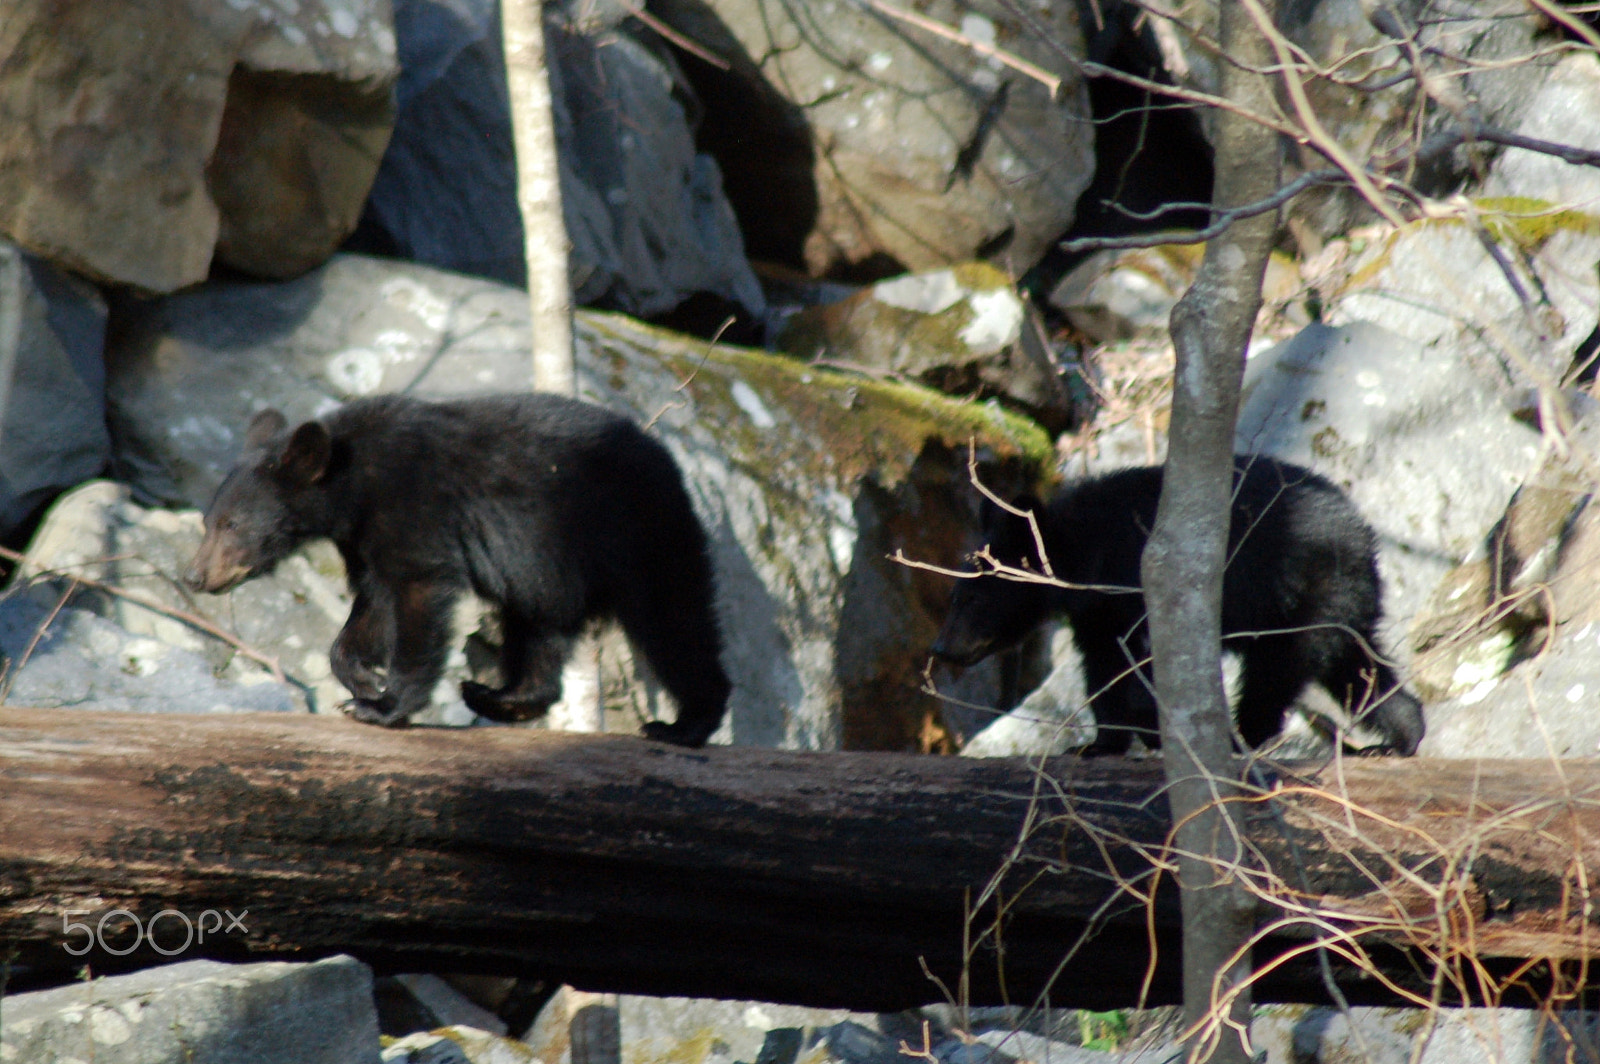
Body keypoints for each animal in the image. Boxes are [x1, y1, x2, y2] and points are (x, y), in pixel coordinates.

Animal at [185, 392, 732, 745]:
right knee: (539, 631)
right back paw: (500, 695)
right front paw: (361, 679)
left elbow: (417, 596)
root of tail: (669, 460)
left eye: (232, 525)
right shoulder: (365, 536)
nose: (194, 577)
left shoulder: (415, 507)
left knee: (674, 622)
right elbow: (373, 602)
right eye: (208, 521)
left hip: (637, 536)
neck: (353, 481)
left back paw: (683, 725)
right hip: (546, 566)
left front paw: (383, 706)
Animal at [934, 457, 1433, 755]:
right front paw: (1098, 744)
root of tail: (1362, 532)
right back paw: (1400, 738)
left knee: (1276, 672)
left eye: (975, 597)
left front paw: (1151, 732)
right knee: (1359, 668)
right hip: (1342, 603)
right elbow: (1105, 668)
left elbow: (1140, 664)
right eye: (955, 595)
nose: (941, 648)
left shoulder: (1136, 586)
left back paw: (1242, 739)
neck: (1085, 546)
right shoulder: (1098, 614)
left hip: (1299, 595)